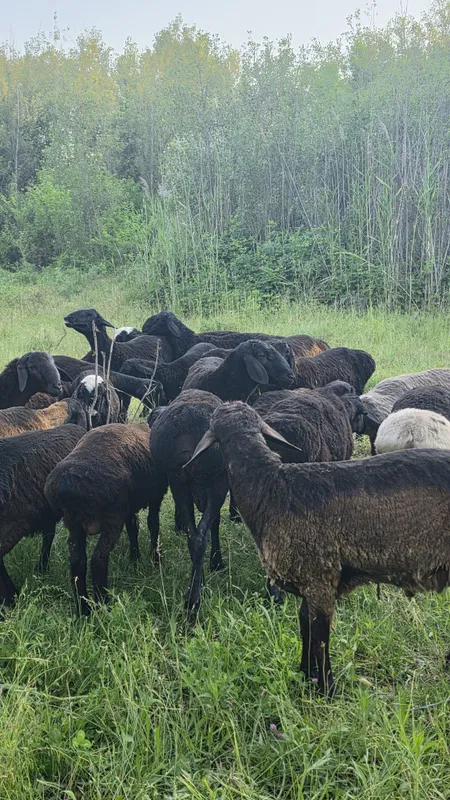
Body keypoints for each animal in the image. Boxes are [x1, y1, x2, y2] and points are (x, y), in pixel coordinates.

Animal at [45, 424, 168, 616]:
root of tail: (68, 484)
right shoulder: (154, 497)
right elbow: (153, 524)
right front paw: (155, 560)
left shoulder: (129, 507)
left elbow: (134, 527)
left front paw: (135, 559)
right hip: (112, 519)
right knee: (98, 559)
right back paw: (103, 604)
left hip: (74, 523)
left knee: (77, 561)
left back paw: (84, 609)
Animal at [149, 390, 228, 611]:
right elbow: (215, 523)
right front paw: (216, 563)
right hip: (217, 482)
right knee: (201, 535)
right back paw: (196, 598)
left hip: (178, 479)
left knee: (195, 537)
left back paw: (193, 596)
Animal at [186, 401, 450, 696]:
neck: (272, 488)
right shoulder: (306, 581)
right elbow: (305, 626)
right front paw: (305, 674)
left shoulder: (320, 578)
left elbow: (320, 636)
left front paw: (327, 688)